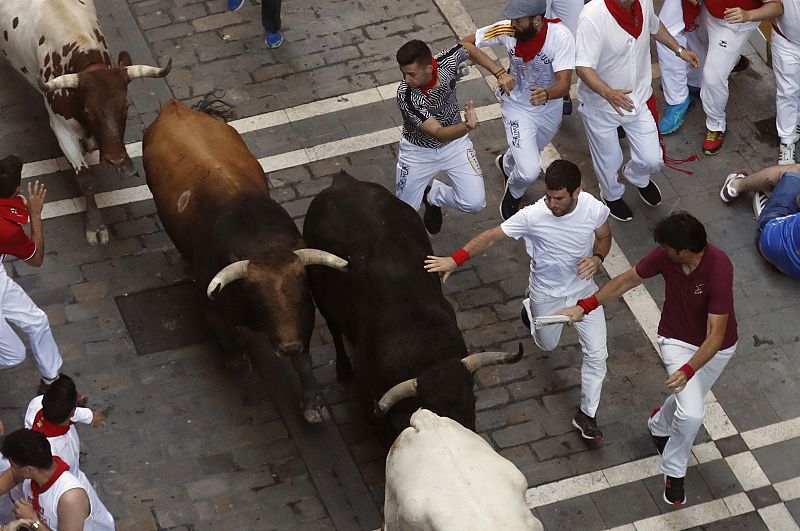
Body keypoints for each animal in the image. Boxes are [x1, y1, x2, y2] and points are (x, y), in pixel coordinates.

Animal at [0, 0, 169, 244]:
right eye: (88, 112)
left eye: (126, 107)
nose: (116, 160)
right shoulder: (62, 129)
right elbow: (86, 179)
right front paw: (95, 226)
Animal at [143, 100, 346, 424]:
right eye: (259, 302)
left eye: (303, 294)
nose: (288, 345)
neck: (261, 244)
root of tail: (175, 107)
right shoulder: (211, 307)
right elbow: (228, 343)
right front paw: (238, 363)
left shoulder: (301, 324)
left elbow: (304, 360)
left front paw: (313, 405)